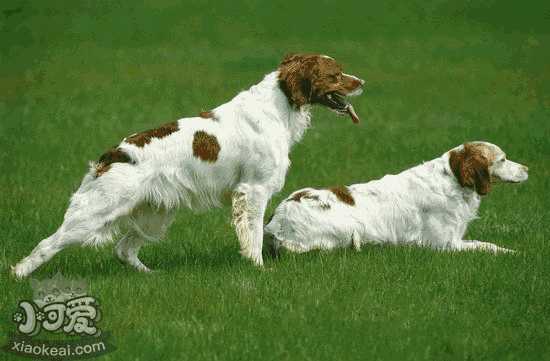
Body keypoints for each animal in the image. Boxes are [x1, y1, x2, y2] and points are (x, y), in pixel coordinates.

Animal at [11, 52, 366, 278]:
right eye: (336, 75)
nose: (362, 81)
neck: (278, 106)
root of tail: (112, 155)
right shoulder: (253, 191)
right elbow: (253, 238)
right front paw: (258, 268)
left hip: (155, 214)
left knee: (124, 250)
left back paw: (150, 275)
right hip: (96, 213)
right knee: (47, 244)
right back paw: (18, 275)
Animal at [268, 141, 532, 253]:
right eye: (503, 159)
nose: (527, 168)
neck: (454, 181)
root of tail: (276, 223)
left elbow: (487, 244)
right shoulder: (444, 244)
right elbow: (485, 246)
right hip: (351, 227)